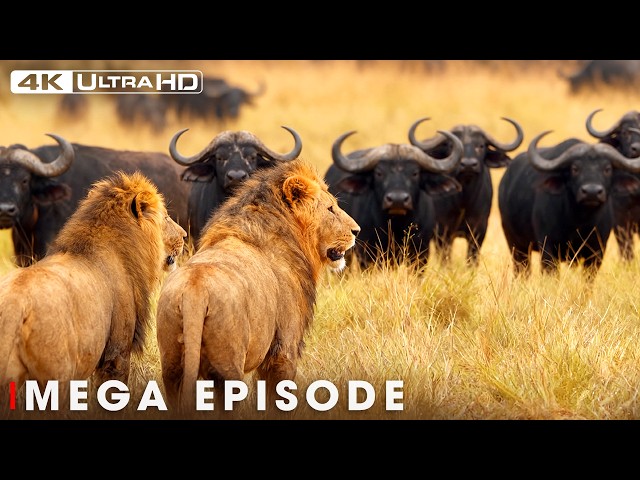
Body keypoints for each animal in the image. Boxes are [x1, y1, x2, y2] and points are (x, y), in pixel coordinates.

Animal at [155, 158, 360, 414]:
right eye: (330, 208)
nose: (356, 231)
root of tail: (195, 291)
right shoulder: (284, 350)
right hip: (227, 369)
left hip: (171, 367)